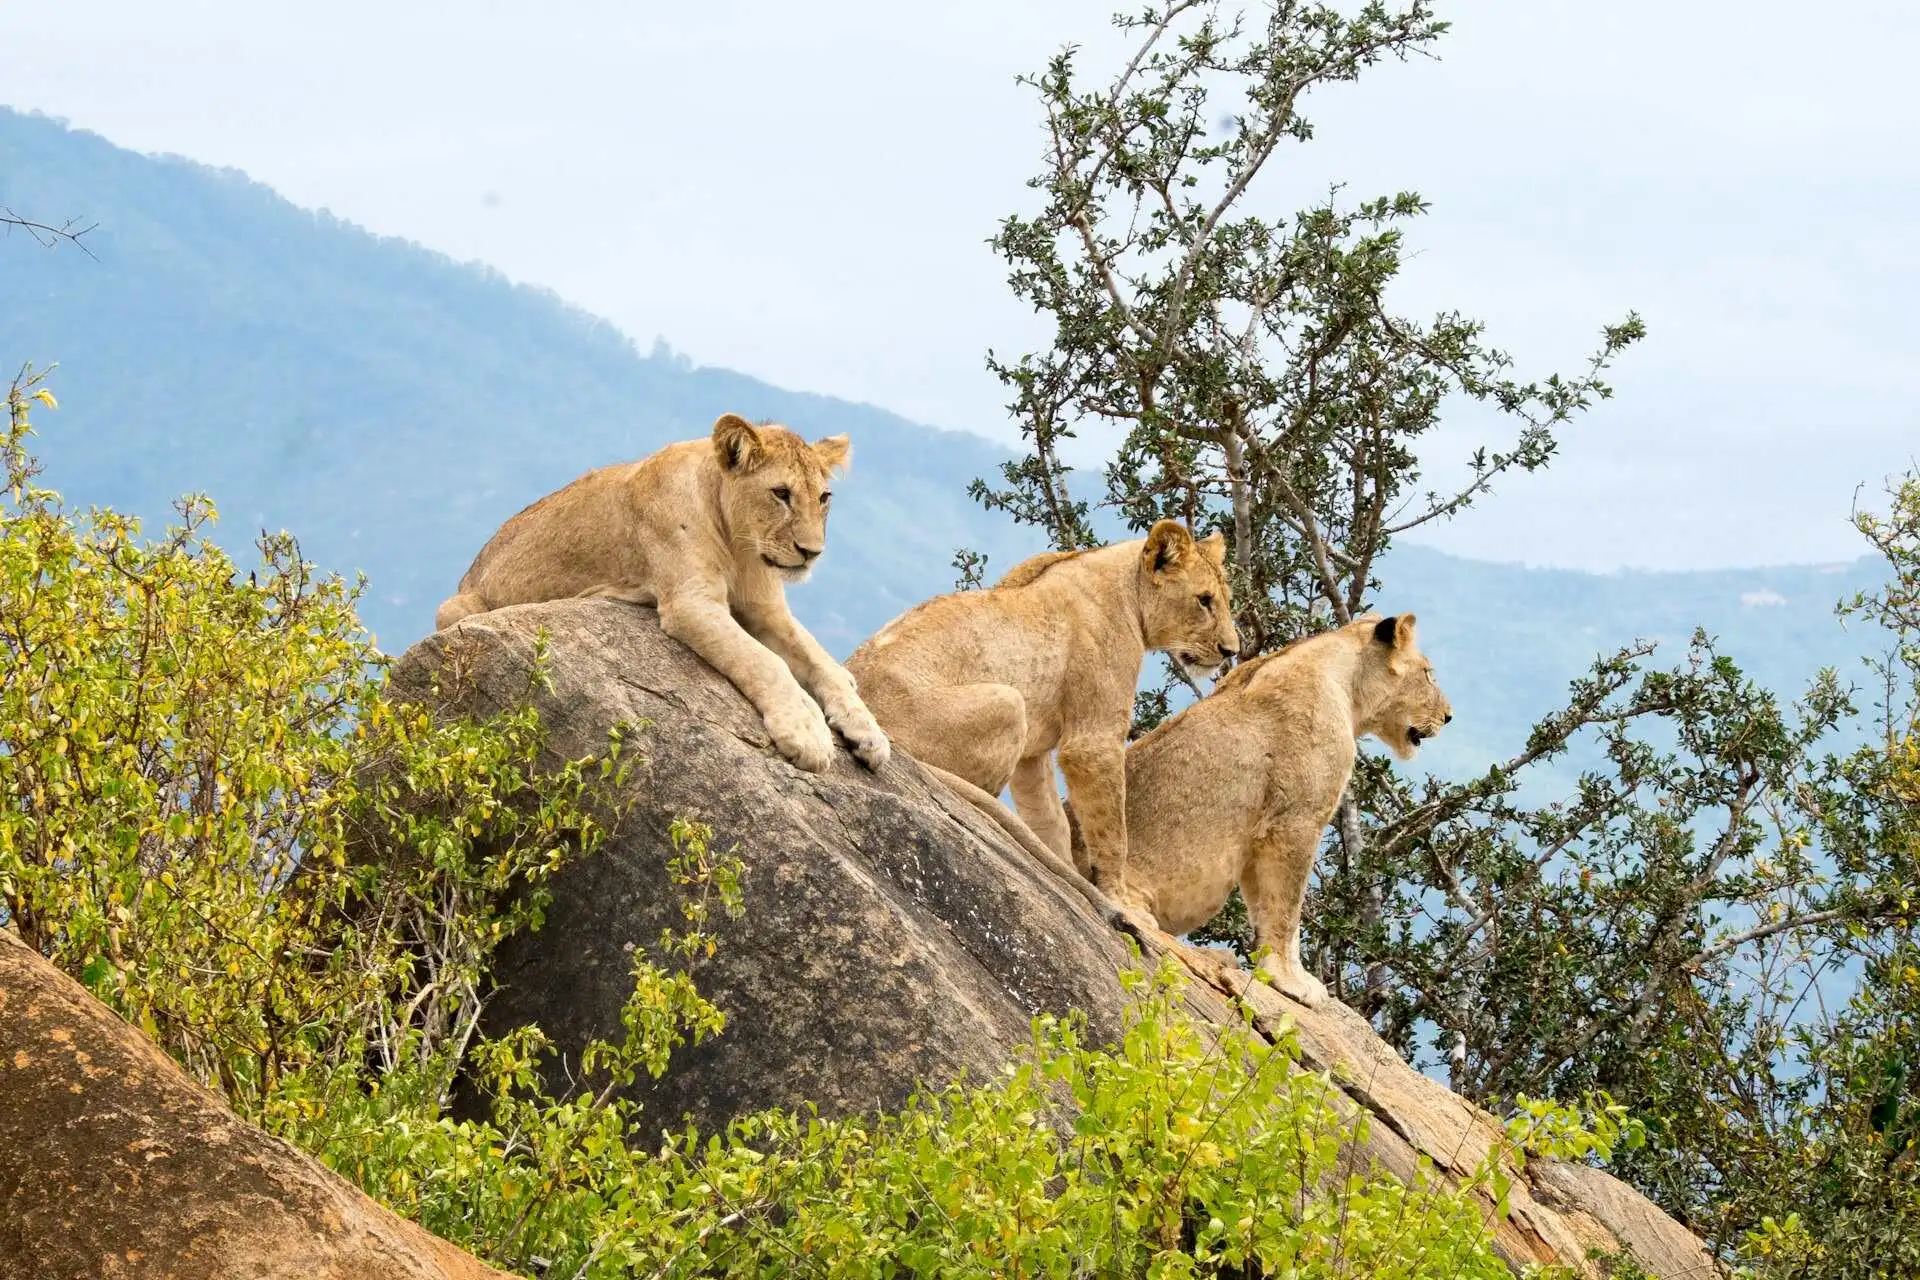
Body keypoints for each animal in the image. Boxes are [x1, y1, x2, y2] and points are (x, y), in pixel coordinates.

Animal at [437, 412, 890, 771]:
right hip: (454, 609)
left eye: (824, 497)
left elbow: (821, 662)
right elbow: (764, 661)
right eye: (781, 493)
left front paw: (867, 731)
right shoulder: (690, 603)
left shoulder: (766, 608)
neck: (739, 545)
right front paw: (807, 732)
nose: (812, 552)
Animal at [848, 525, 1236, 917]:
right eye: (1204, 600)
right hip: (1009, 702)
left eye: (1224, 599)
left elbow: (1051, 820)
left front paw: (1071, 877)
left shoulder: (1033, 755)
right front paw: (1118, 898)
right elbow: (1112, 830)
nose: (1230, 650)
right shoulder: (1092, 742)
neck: (1129, 589)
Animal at [1105, 614, 1443, 1005]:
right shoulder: (1294, 821)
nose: (1449, 716)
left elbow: (1268, 910)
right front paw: (1291, 981)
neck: (1348, 682)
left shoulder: (1260, 835)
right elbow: (1286, 909)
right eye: (1428, 673)